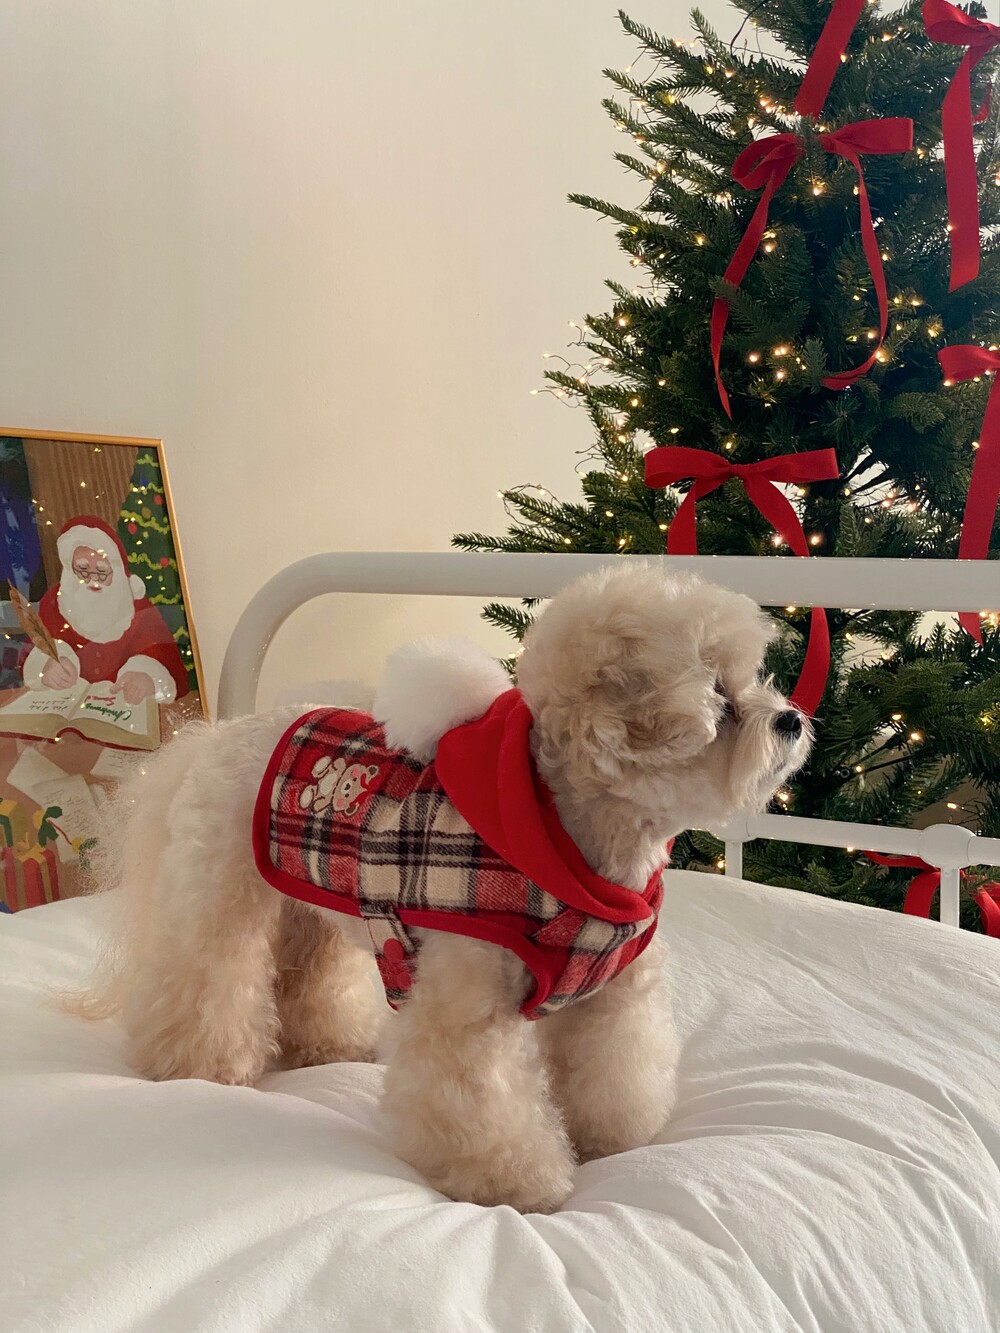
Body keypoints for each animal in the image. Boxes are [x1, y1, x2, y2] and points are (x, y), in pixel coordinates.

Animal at [73, 563, 811, 1212]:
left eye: (756, 679)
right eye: (719, 694)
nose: (794, 719)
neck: (578, 848)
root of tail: (216, 734)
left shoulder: (613, 998)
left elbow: (613, 1074)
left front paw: (611, 1142)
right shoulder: (468, 1005)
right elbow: (479, 1102)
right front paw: (519, 1185)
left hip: (311, 906)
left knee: (306, 976)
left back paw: (326, 1046)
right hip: (218, 893)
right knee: (203, 977)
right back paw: (199, 1066)